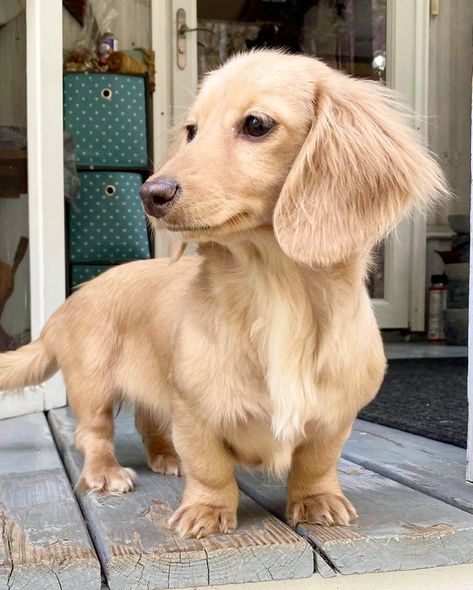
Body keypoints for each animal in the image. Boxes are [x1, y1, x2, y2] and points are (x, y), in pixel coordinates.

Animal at [0, 51, 446, 540]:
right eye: (192, 130)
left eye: (256, 124)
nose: (150, 193)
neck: (274, 289)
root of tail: (68, 303)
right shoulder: (194, 409)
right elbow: (210, 466)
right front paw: (207, 510)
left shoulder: (335, 417)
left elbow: (316, 462)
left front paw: (317, 500)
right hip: (92, 384)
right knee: (94, 434)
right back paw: (106, 472)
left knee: (147, 420)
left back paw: (165, 456)